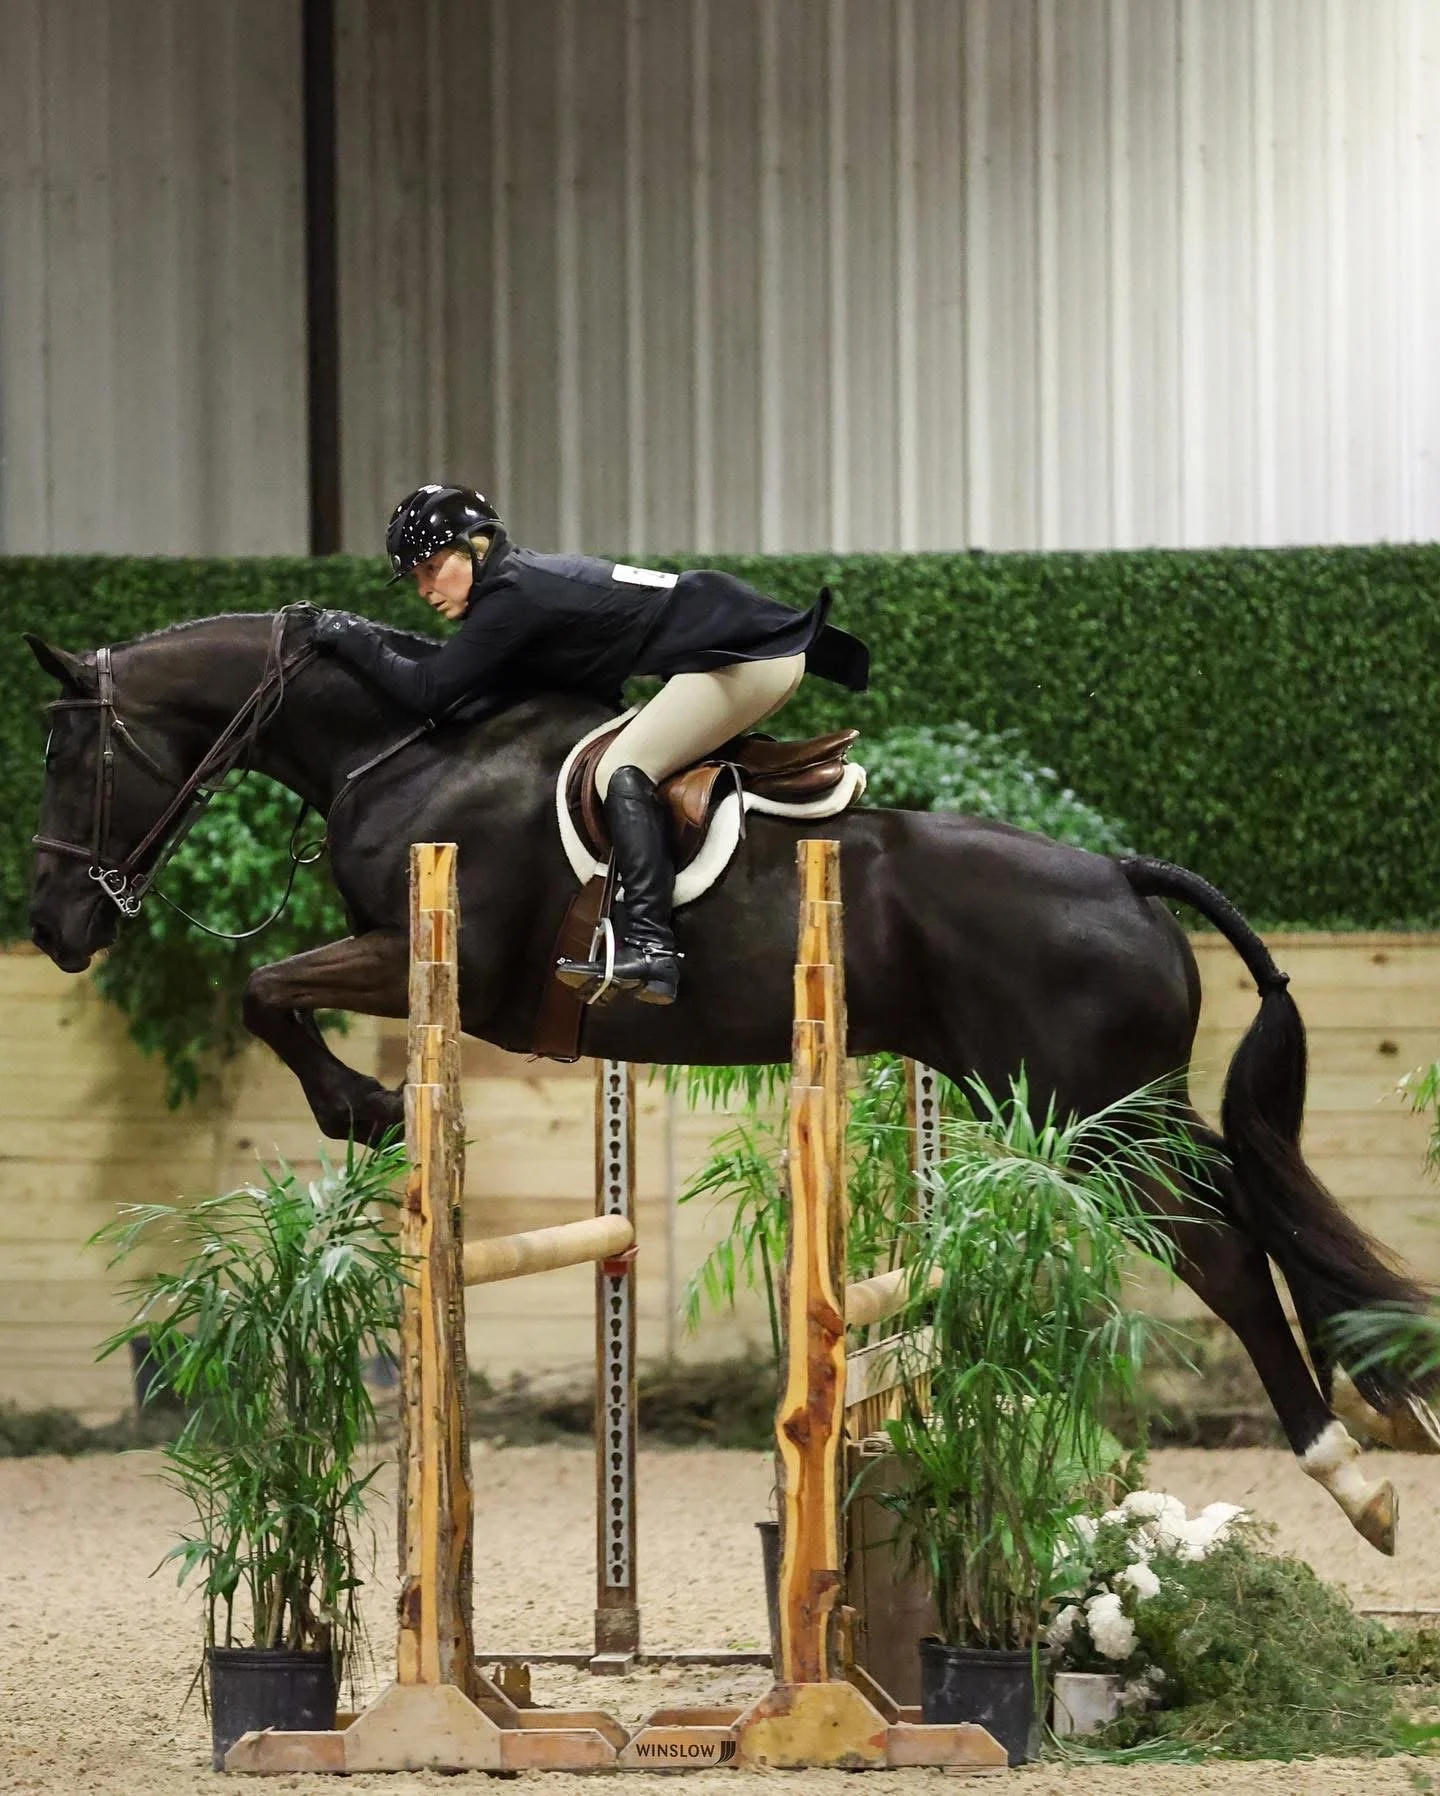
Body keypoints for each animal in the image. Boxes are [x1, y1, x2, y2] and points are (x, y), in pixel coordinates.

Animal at [24, 607, 1436, 1553]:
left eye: (65, 758)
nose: (54, 925)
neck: (402, 743)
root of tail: (1127, 871)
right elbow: (267, 989)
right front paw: (365, 1109)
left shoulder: (444, 964)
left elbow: (264, 987)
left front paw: (362, 1109)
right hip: (1122, 1108)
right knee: (1262, 1213)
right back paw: (1384, 1406)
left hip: (1087, 1117)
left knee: (1224, 1250)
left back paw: (1352, 1476)